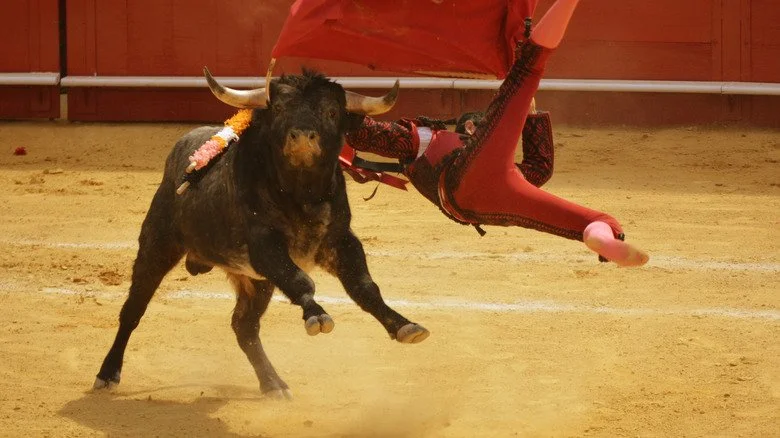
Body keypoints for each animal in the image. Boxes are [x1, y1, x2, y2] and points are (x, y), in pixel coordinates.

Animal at [93, 68, 430, 399]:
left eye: (332, 111)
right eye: (278, 108)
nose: (303, 137)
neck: (302, 194)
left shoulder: (340, 241)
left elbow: (365, 287)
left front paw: (405, 326)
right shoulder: (265, 246)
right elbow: (301, 281)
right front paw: (317, 315)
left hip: (256, 281)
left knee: (244, 327)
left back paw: (273, 383)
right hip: (157, 244)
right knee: (133, 310)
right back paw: (107, 374)